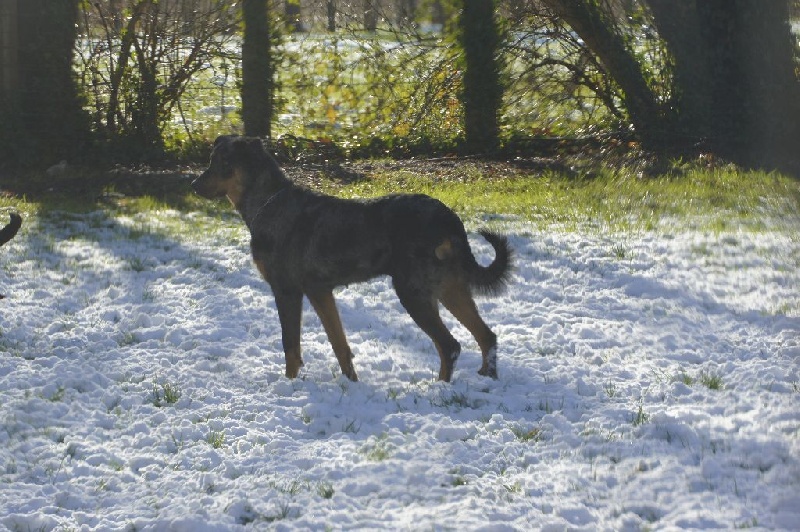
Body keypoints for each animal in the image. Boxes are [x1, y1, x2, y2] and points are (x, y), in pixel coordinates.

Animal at [192, 135, 512, 380]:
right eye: (211, 160)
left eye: (223, 164)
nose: (194, 186)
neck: (268, 203)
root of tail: (448, 219)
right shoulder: (320, 291)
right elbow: (339, 344)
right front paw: (351, 384)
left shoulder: (287, 291)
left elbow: (291, 346)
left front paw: (290, 384)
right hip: (449, 287)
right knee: (486, 336)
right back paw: (488, 380)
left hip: (414, 291)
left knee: (450, 346)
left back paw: (440, 389)